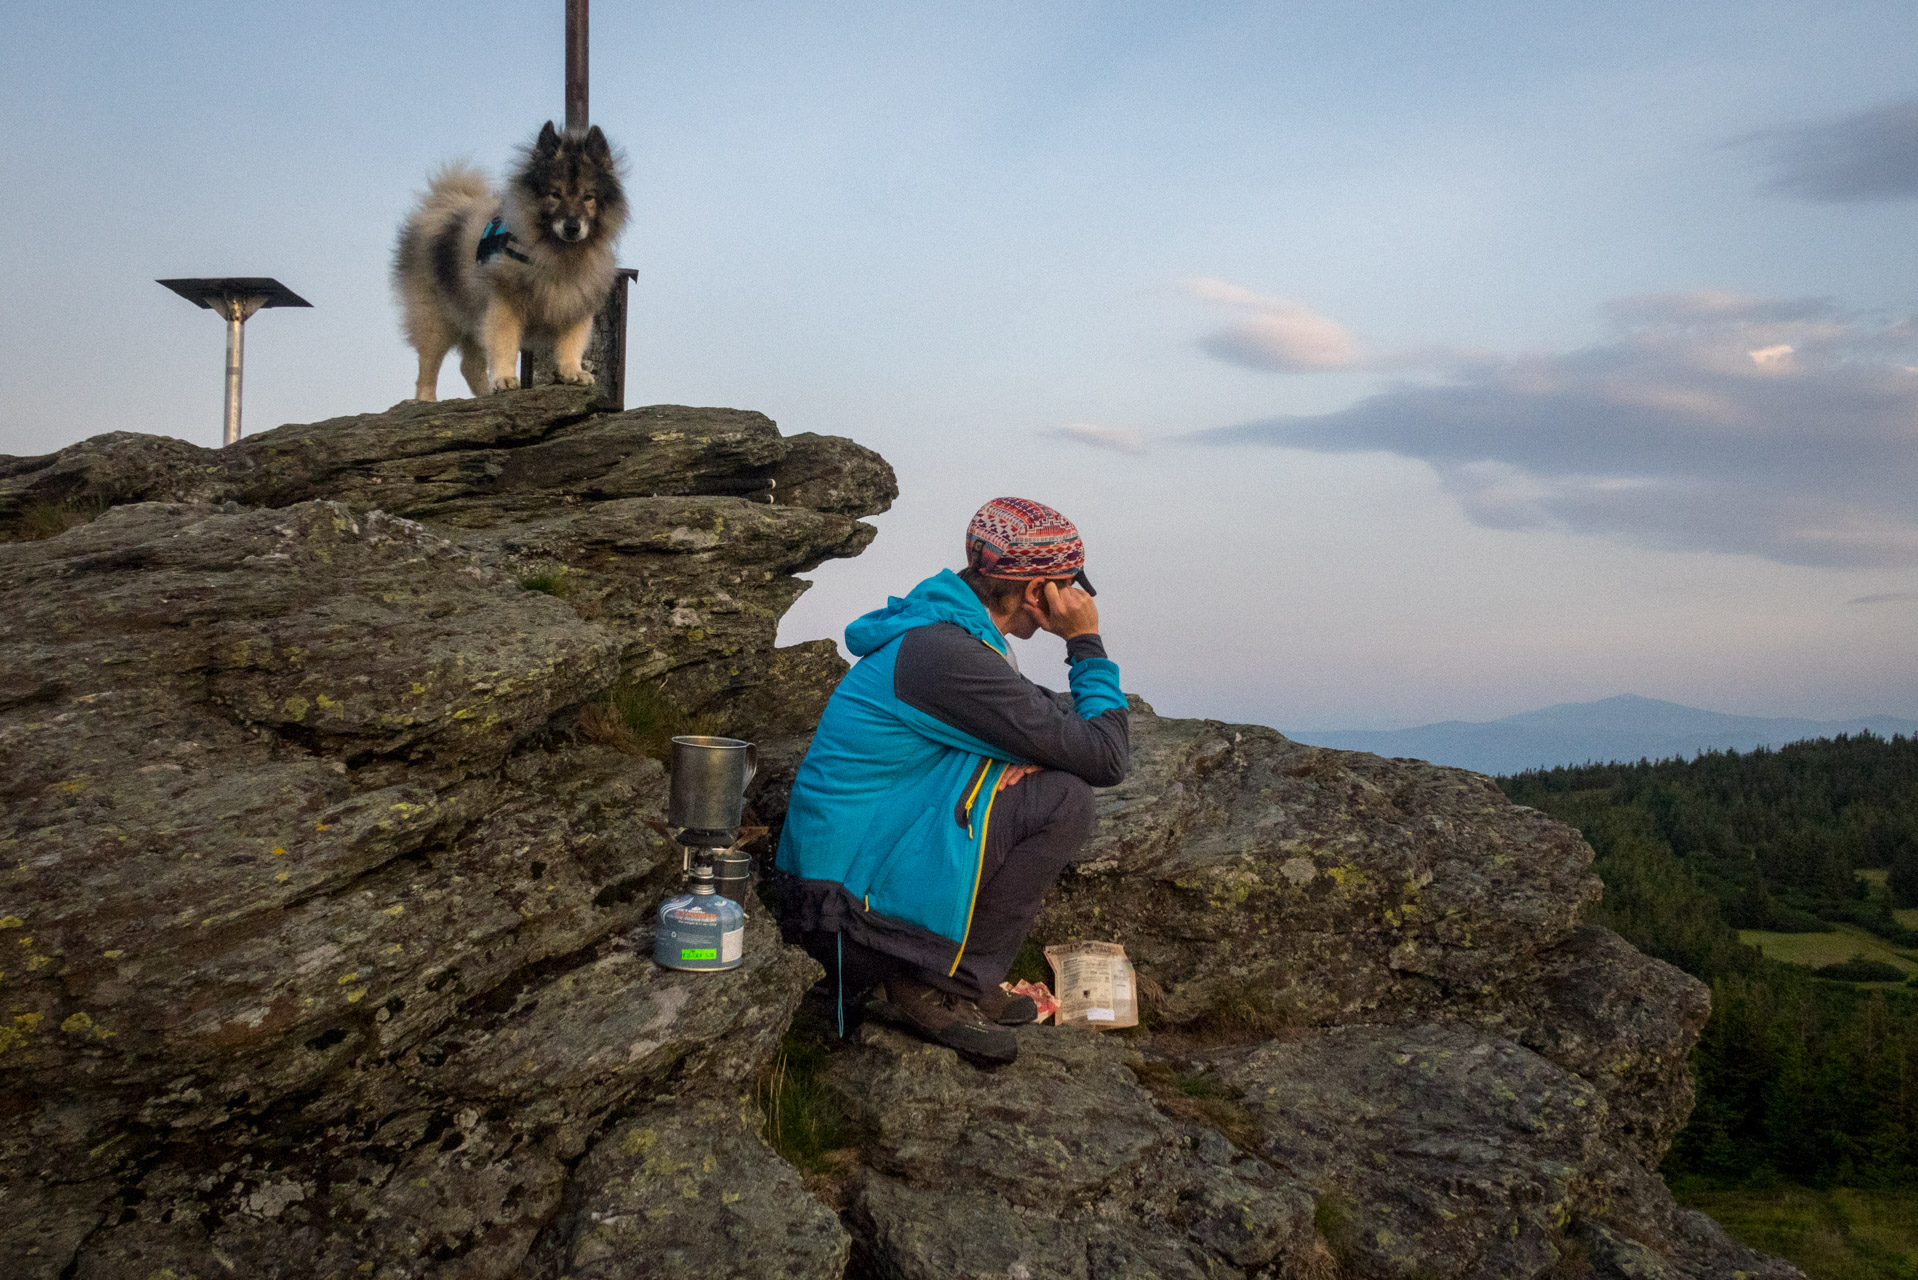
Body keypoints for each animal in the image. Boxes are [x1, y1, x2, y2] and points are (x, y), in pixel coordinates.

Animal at [389, 121, 629, 401]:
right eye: (555, 195)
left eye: (588, 197)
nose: (572, 227)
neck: (557, 255)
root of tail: (444, 203)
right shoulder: (505, 302)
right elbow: (505, 343)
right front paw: (504, 377)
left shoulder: (576, 302)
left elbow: (571, 342)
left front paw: (572, 371)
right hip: (435, 319)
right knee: (428, 366)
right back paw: (426, 400)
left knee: (469, 365)